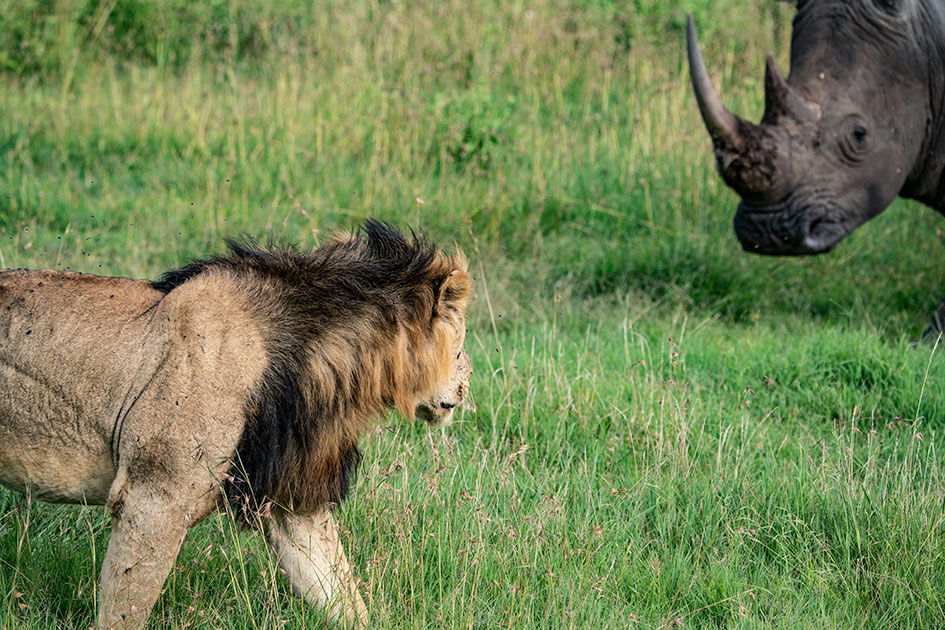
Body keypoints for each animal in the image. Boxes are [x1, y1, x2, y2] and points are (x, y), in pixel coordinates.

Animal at [0, 221, 472, 628]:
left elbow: (339, 591)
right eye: (464, 340)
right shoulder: (153, 499)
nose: (470, 381)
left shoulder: (292, 500)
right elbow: (125, 609)